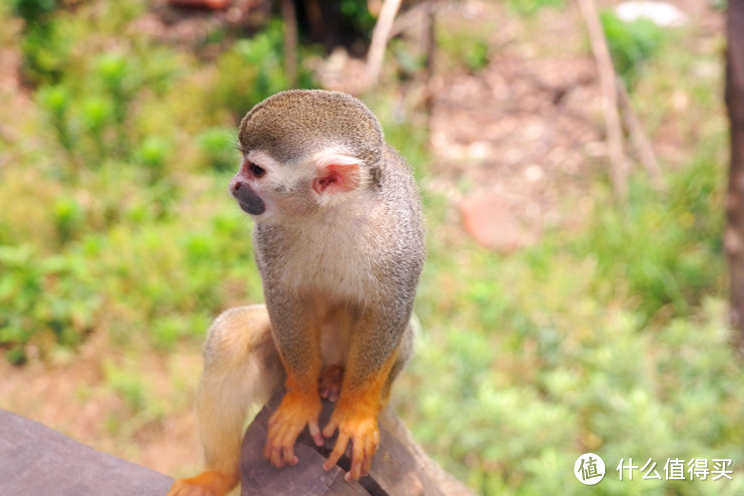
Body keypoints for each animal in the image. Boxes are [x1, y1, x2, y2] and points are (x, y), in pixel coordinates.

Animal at [168, 90, 424, 496]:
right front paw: (302, 404)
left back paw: (345, 383)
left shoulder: (401, 234)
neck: (330, 213)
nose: (234, 184)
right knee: (230, 336)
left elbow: (390, 308)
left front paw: (356, 413)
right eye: (243, 166)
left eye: (256, 170)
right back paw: (219, 474)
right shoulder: (268, 233)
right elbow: (285, 298)